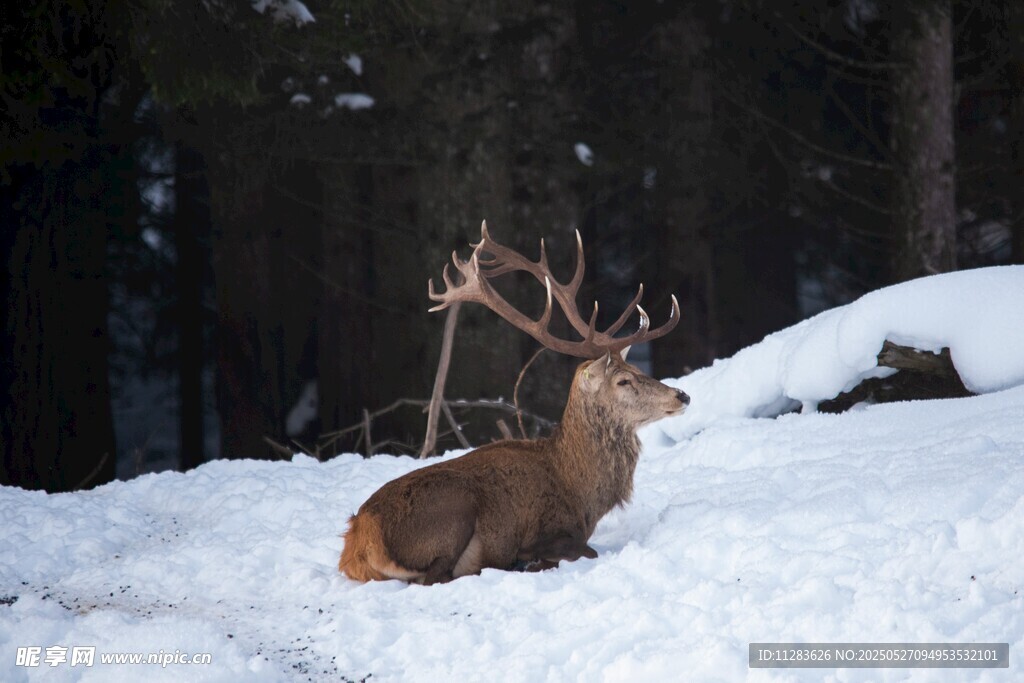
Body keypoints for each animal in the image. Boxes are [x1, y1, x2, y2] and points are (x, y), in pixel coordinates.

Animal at [338, 222, 689, 584]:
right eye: (623, 381)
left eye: (637, 370)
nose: (682, 395)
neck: (581, 494)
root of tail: (359, 539)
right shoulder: (548, 530)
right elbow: (585, 550)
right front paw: (533, 561)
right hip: (452, 510)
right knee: (437, 576)